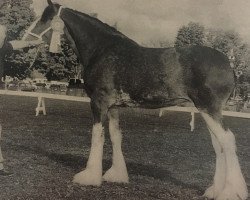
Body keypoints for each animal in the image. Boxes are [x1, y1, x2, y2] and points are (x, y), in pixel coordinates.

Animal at [23, 0, 248, 199]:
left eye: (44, 18)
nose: (25, 40)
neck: (102, 50)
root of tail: (228, 64)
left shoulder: (98, 102)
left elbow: (97, 135)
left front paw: (89, 176)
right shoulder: (113, 106)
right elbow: (115, 136)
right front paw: (116, 174)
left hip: (209, 108)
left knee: (227, 140)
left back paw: (231, 192)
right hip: (207, 111)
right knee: (218, 144)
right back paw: (214, 190)